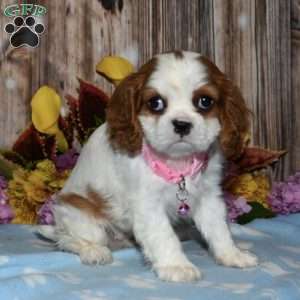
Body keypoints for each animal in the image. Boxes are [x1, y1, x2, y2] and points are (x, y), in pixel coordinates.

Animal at [40, 50, 258, 282]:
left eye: (205, 101)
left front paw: (232, 255)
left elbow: (218, 228)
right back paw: (93, 251)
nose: (182, 124)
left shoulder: (208, 196)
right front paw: (176, 266)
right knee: (69, 240)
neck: (177, 163)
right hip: (81, 216)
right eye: (156, 103)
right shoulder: (147, 204)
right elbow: (163, 234)